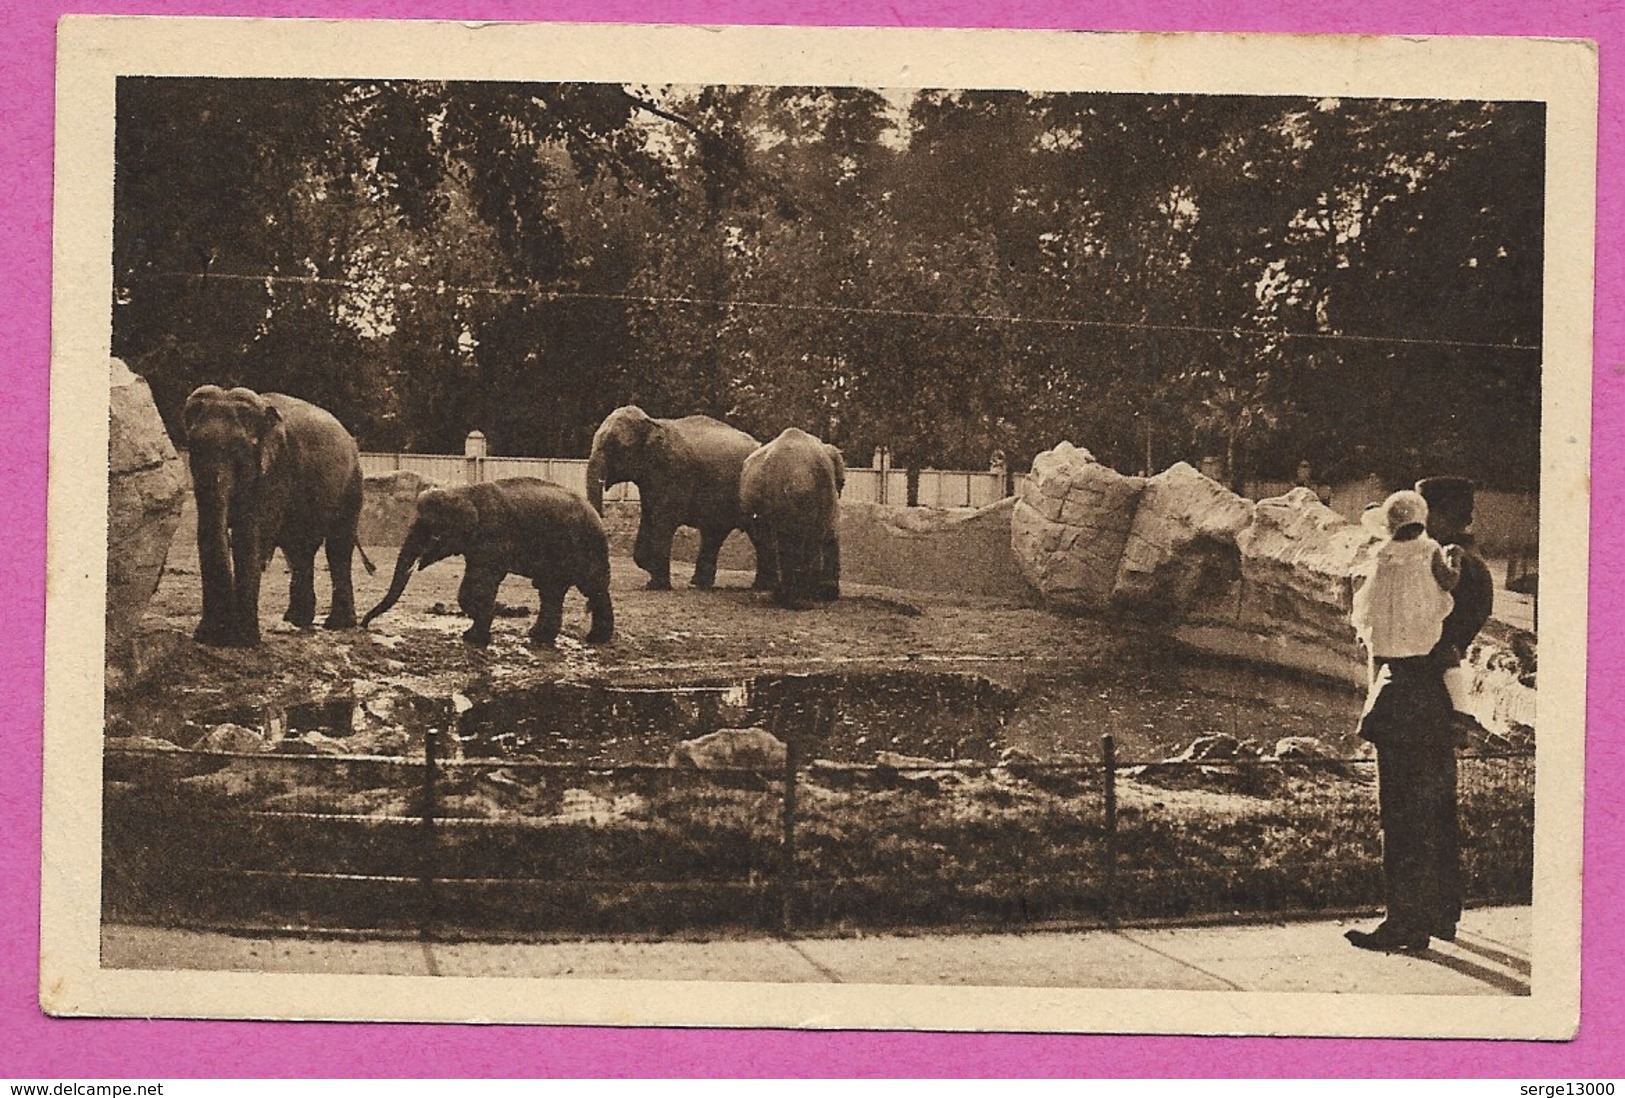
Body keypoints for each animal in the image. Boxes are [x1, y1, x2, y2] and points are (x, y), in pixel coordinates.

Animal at [182, 383, 370, 646]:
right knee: (299, 549)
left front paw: (243, 641)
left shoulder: (277, 468)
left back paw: (337, 625)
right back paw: (297, 620)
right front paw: (209, 637)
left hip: (352, 483)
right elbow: (208, 530)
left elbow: (250, 534)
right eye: (193, 449)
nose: (216, 635)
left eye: (239, 452)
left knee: (337, 547)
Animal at [364, 477, 614, 646]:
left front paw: (475, 636)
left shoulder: (493, 534)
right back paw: (538, 636)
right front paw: (475, 632)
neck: (465, 491)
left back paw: (596, 639)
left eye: (434, 534)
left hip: (589, 545)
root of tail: (596, 513)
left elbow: (480, 582)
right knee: (550, 589)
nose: (365, 625)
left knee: (592, 587)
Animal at [585, 406, 773, 591]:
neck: (653, 422)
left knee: (757, 535)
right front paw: (648, 571)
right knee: (715, 532)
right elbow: (649, 515)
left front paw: (656, 585)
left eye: (615, 446)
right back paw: (699, 584)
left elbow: (664, 520)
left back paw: (759, 587)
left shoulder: (675, 470)